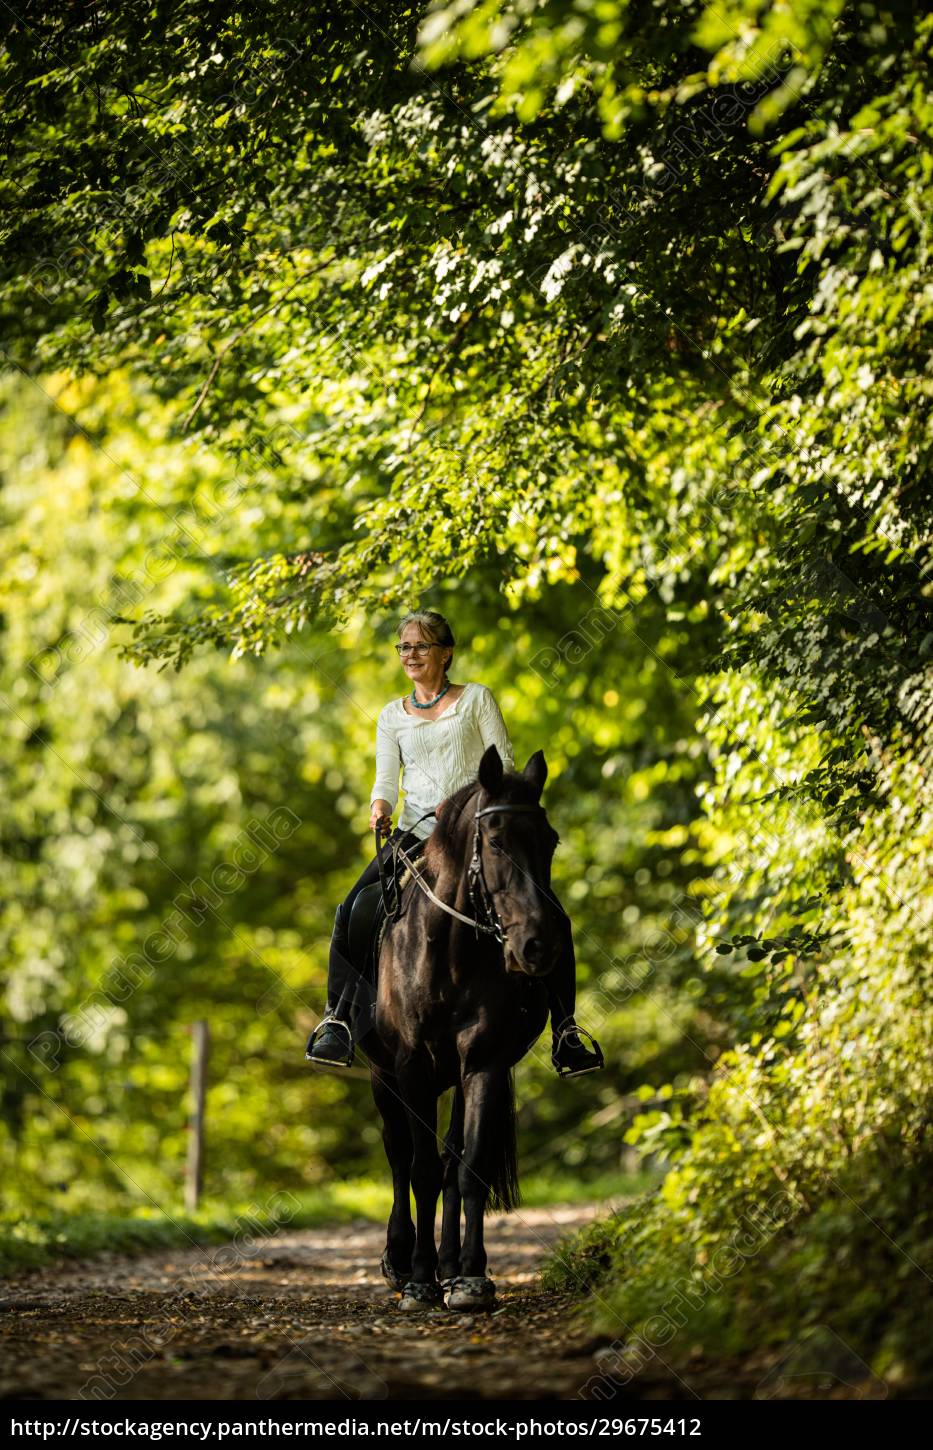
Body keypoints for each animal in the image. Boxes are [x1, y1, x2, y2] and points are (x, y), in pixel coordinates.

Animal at [361, 748, 565, 1316]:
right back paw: (399, 1260)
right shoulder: (410, 1069)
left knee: (451, 1160)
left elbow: (468, 1166)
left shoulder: (483, 1064)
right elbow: (421, 1170)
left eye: (550, 841)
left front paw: (471, 1277)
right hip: (384, 1078)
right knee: (398, 1156)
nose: (538, 947)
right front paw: (419, 1281)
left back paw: (451, 1266)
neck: (449, 953)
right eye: (494, 839)